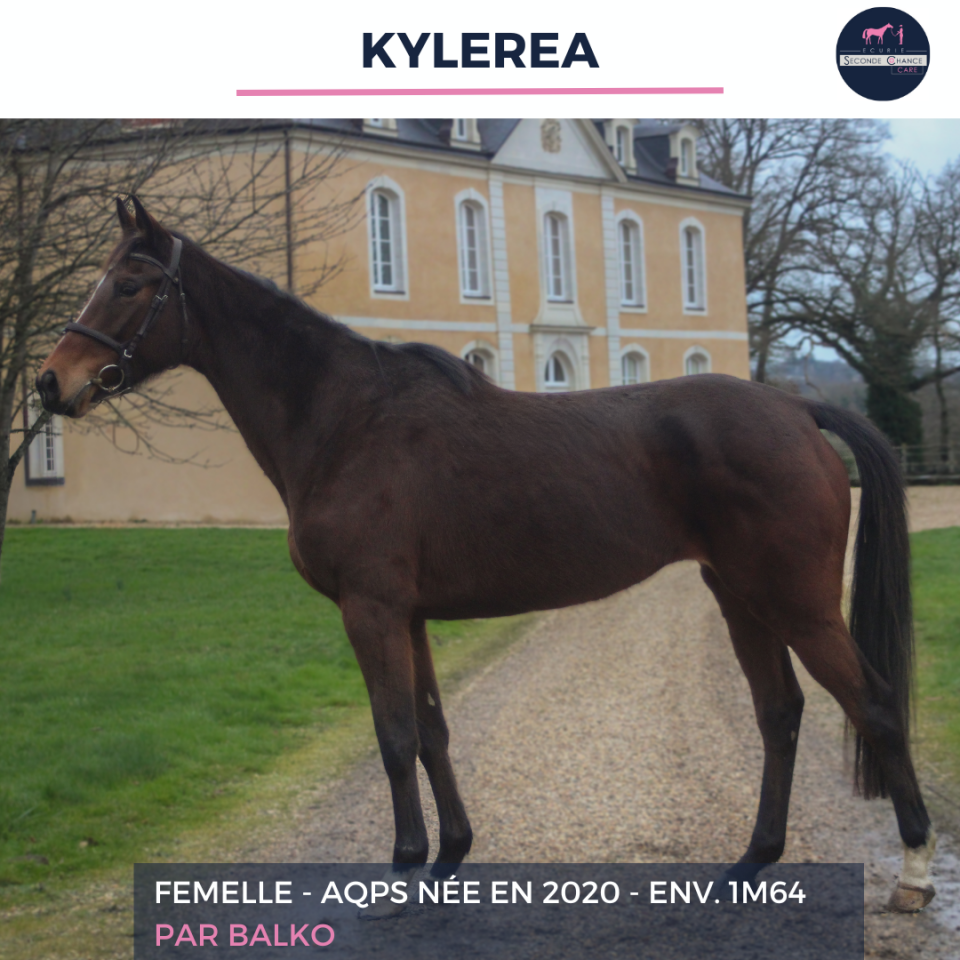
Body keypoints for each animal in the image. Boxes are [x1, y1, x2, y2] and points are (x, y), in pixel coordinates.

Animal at [37, 197, 936, 914]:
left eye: (129, 284)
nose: (51, 383)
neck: (347, 419)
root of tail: (798, 411)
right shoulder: (410, 617)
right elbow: (433, 731)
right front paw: (448, 859)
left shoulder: (370, 611)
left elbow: (395, 735)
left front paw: (402, 874)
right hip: (739, 595)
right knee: (779, 713)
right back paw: (752, 863)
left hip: (796, 602)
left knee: (877, 706)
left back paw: (915, 873)